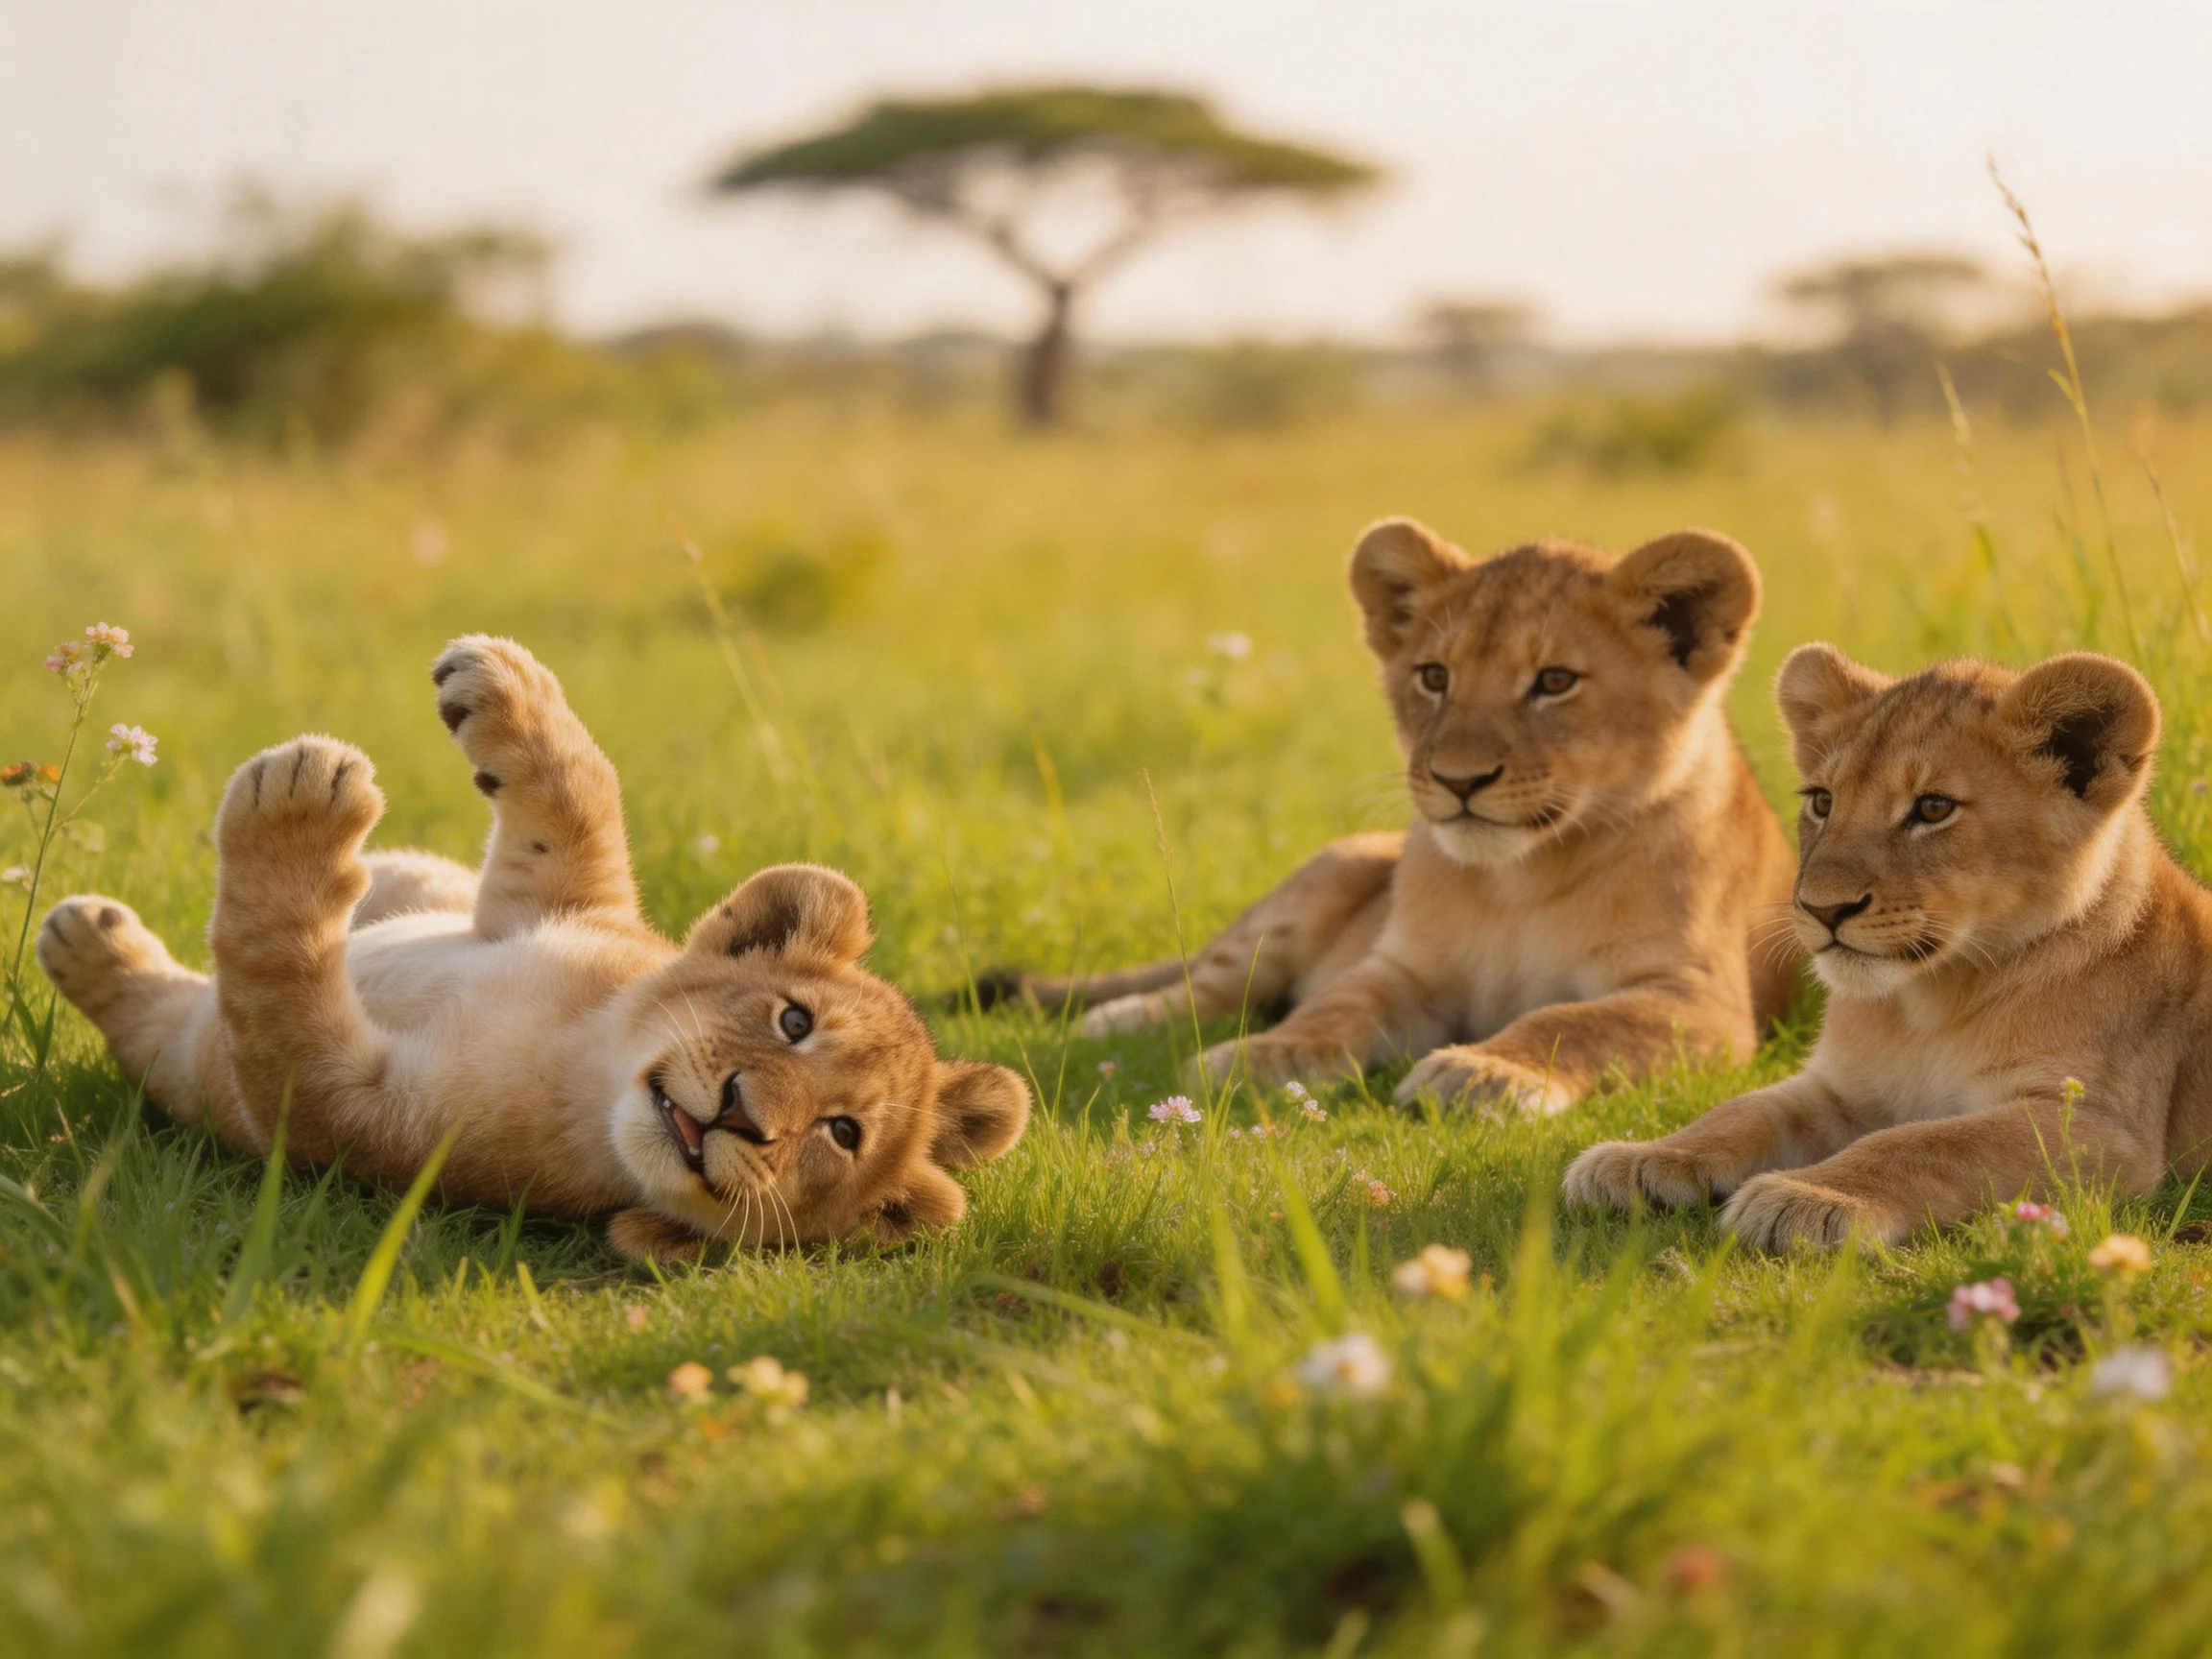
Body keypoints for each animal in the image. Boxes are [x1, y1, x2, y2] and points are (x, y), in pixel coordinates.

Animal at [37, 636, 1029, 1262]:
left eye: (843, 1134)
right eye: (794, 1021)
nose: (743, 1117)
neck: (579, 1057)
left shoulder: (338, 1123)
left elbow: (274, 988)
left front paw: (298, 807)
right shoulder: (557, 903)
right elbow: (580, 797)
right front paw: (498, 680)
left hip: (179, 1061)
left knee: (158, 1018)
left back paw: (87, 939)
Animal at [1000, 517, 1799, 1112]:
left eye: (1555, 682)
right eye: (1435, 677)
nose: (1458, 779)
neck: (1522, 882)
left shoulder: (1704, 1004)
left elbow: (1574, 1021)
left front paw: (1482, 1074)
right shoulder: (1405, 966)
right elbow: (1338, 1006)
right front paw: (1264, 1056)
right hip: (1326, 875)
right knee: (1214, 979)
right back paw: (1118, 1019)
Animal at [1564, 644, 2212, 1249]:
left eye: (1934, 808)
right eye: (1822, 801)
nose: (1822, 908)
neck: (1930, 1005)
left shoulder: (2101, 1127)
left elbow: (1928, 1142)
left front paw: (1807, 1199)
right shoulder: (1844, 1088)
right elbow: (1742, 1111)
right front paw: (1640, 1159)